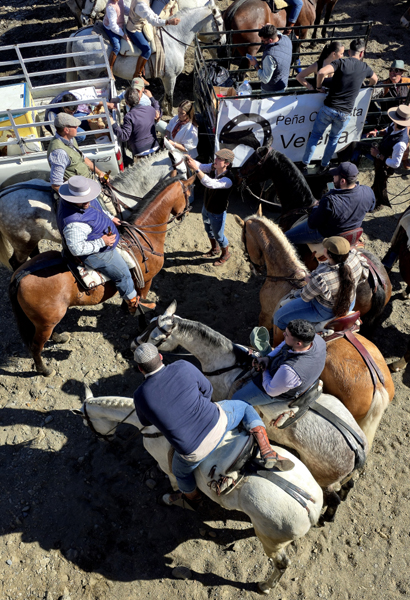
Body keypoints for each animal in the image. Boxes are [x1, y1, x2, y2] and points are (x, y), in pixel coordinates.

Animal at [8, 176, 194, 378]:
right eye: (189, 192)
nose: (187, 212)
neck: (142, 239)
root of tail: (20, 275)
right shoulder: (147, 281)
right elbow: (142, 305)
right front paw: (140, 322)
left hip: (47, 320)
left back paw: (60, 337)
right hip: (44, 320)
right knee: (35, 346)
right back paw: (44, 370)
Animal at [67, 2, 226, 115]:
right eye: (220, 23)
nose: (223, 42)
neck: (174, 38)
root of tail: (76, 35)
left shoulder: (166, 77)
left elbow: (165, 96)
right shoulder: (170, 77)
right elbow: (170, 96)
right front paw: (170, 113)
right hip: (88, 75)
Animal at [77, 385, 323, 594]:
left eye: (87, 423)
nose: (104, 439)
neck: (151, 427)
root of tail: (310, 505)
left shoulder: (166, 465)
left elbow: (175, 484)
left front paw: (174, 499)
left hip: (272, 541)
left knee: (281, 564)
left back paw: (264, 586)